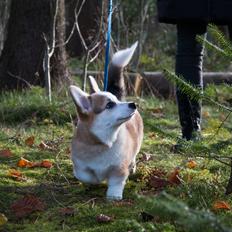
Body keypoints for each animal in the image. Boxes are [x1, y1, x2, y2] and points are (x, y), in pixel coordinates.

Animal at [69, 42, 143, 199]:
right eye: (109, 105)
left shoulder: (119, 168)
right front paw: (95, 180)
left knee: (134, 157)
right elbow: (86, 176)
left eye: (116, 101)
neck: (102, 142)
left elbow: (116, 181)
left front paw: (113, 195)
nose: (133, 104)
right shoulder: (80, 166)